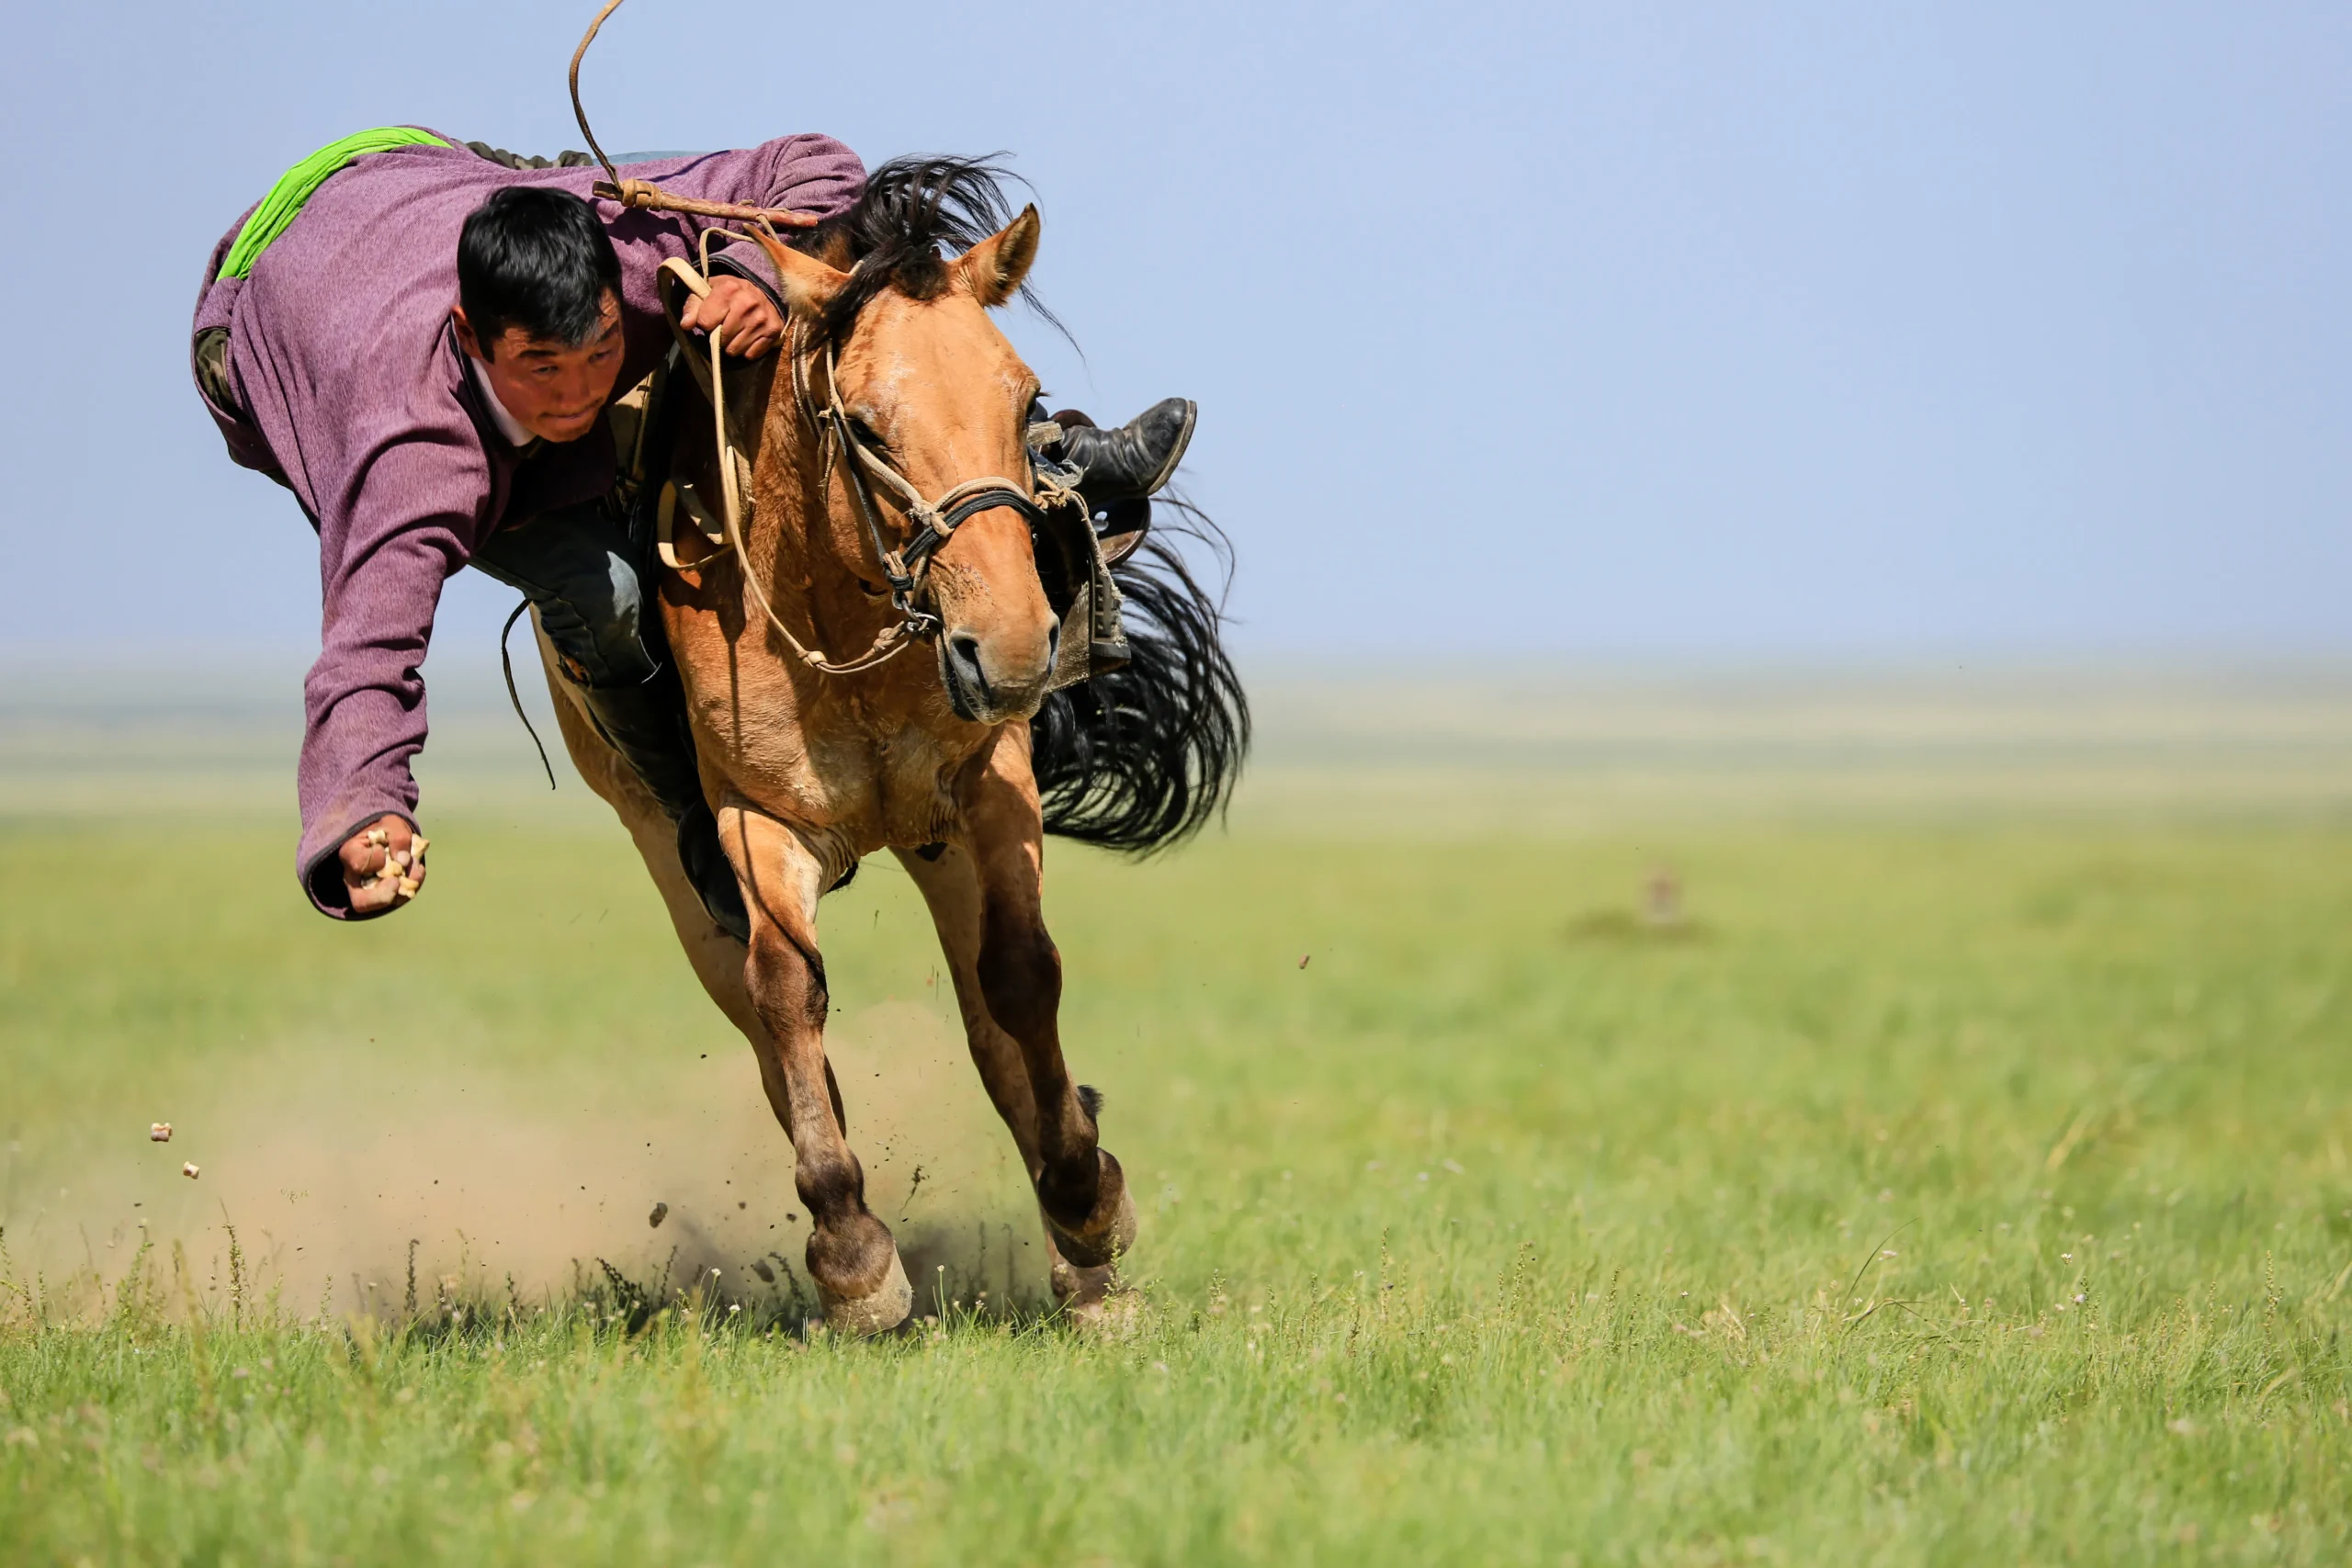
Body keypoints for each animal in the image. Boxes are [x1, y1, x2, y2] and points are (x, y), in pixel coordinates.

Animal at [534, 157, 1247, 1334]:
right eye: (865, 426)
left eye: (1025, 400)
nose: (1013, 643)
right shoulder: (755, 821)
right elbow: (789, 992)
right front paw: (853, 1257)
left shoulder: (989, 786)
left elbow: (1021, 978)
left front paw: (1087, 1201)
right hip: (674, 860)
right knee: (765, 1030)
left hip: (936, 842)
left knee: (991, 1027)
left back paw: (1084, 1253)